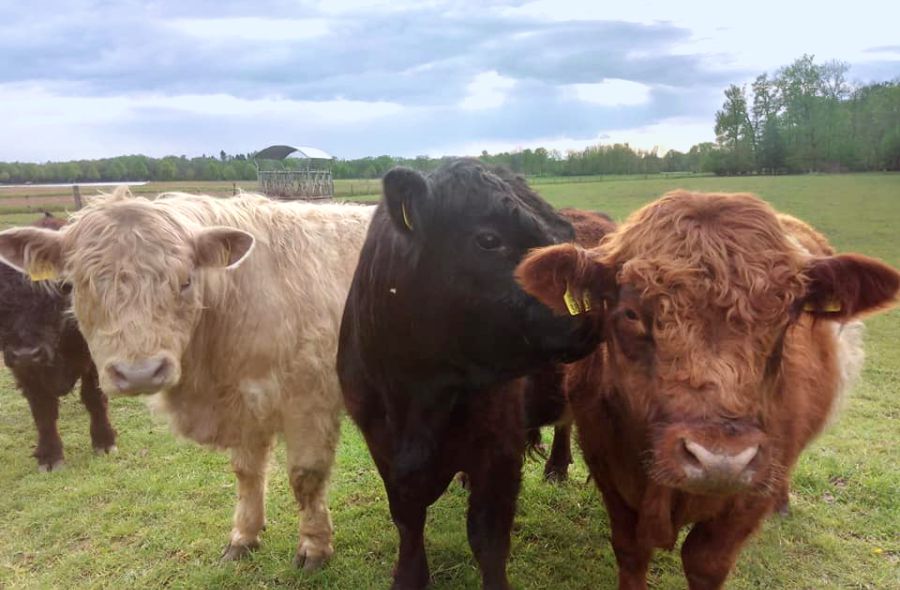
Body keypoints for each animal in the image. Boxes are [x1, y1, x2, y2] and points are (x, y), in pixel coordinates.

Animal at [0, 213, 116, 472]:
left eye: (60, 290)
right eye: (2, 299)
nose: (26, 353)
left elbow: (93, 397)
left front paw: (104, 441)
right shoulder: (24, 371)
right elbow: (43, 411)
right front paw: (50, 455)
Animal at [338, 160, 596, 588]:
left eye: (564, 234)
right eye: (488, 239)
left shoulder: (500, 449)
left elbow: (487, 537)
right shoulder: (381, 445)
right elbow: (406, 519)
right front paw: (408, 576)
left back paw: (557, 468)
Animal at [512, 192, 900, 588]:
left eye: (786, 315)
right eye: (631, 313)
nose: (721, 460)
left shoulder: (748, 498)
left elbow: (705, 562)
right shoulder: (610, 473)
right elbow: (631, 550)